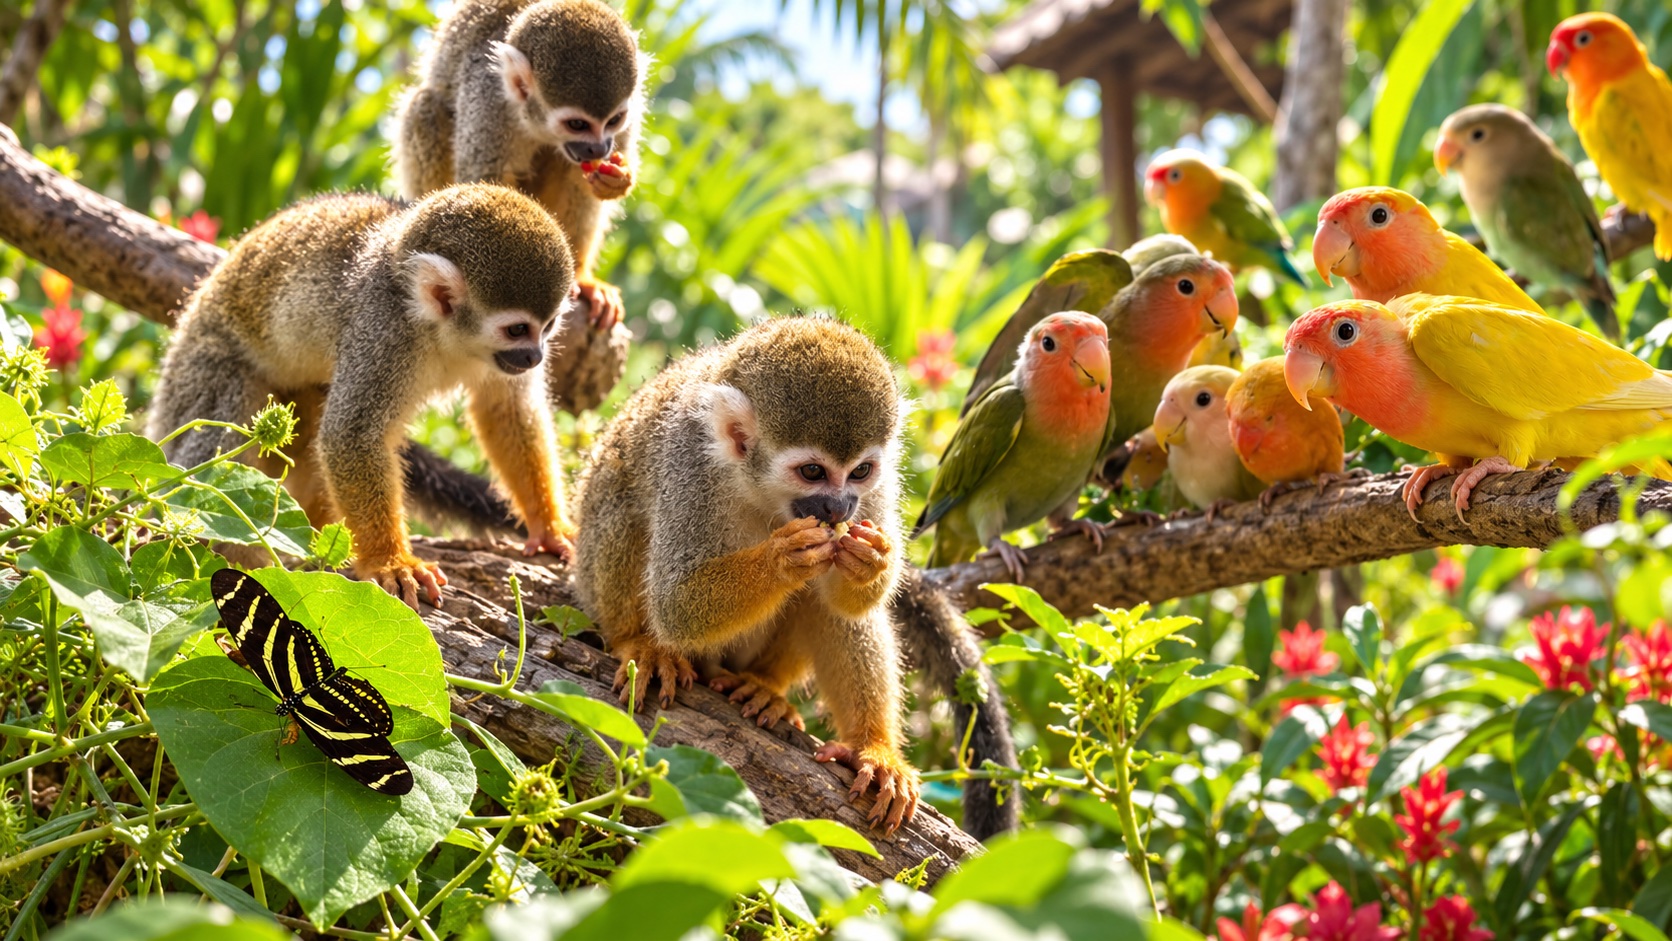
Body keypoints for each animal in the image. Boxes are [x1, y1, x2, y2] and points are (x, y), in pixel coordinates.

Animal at [146, 183, 578, 609]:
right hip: (199, 370)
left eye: (548, 326)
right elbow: (350, 435)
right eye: (517, 329)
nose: (535, 356)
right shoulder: (384, 327)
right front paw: (392, 563)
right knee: (221, 431)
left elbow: (509, 409)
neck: (443, 333)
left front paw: (549, 527)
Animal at [393, 0, 643, 331]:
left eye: (614, 120)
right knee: (425, 108)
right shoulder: (488, 100)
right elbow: (486, 183)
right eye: (577, 124)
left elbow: (585, 185)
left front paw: (616, 180)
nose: (600, 148)